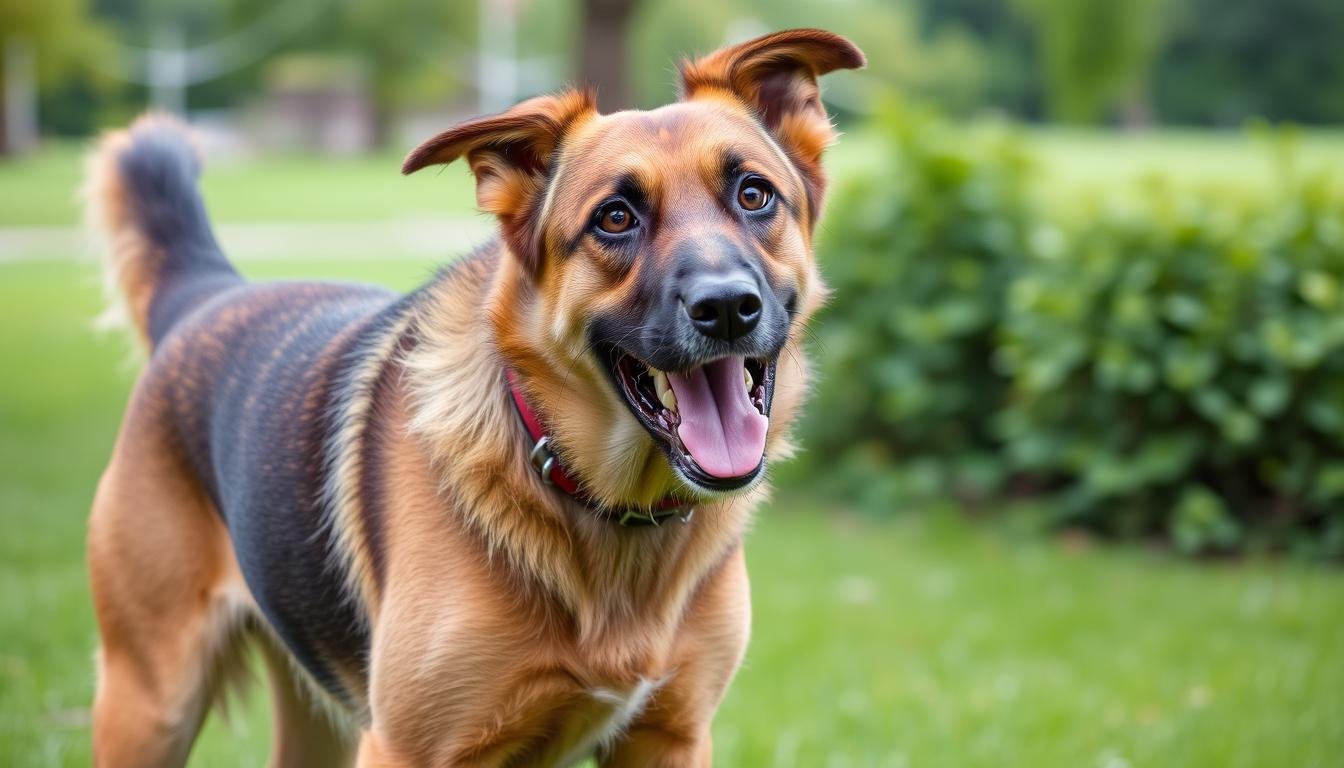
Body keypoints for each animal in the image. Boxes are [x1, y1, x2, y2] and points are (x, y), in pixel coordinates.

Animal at [86, 27, 860, 763]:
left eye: (754, 195)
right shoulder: (404, 748)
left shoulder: (670, 738)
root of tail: (206, 293)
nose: (726, 308)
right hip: (150, 703)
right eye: (615, 218)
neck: (597, 501)